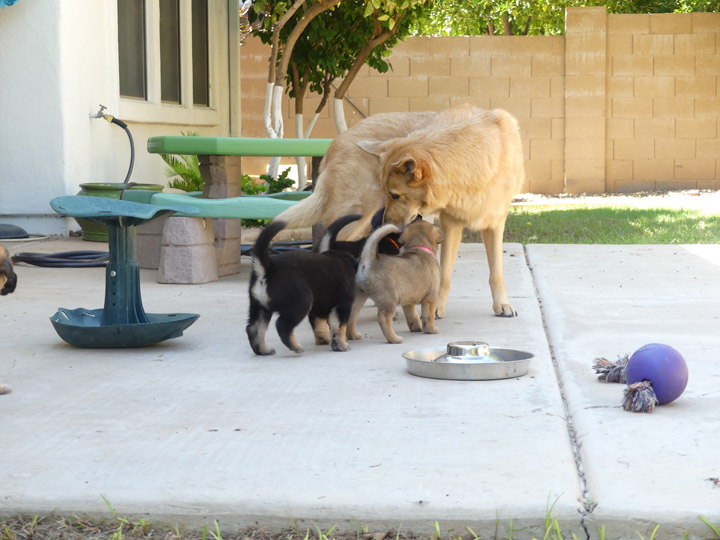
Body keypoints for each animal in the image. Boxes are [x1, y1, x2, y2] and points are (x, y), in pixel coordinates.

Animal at [246, 218, 358, 354]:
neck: (344, 259)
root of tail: (269, 269)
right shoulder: (343, 305)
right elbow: (339, 328)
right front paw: (342, 346)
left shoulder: (318, 307)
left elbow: (321, 326)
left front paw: (326, 341)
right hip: (302, 302)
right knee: (281, 325)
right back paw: (296, 347)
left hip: (259, 307)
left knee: (254, 328)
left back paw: (264, 350)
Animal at [274, 105, 524, 320]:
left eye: (394, 195)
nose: (386, 222)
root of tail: (336, 142)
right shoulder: (451, 224)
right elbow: (444, 275)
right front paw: (436, 308)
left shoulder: (495, 223)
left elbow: (496, 272)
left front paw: (502, 304)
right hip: (354, 219)